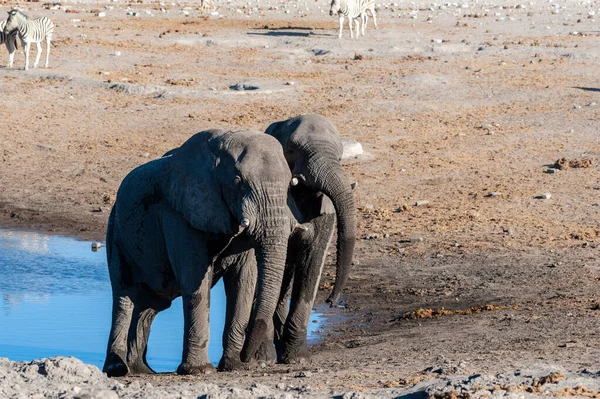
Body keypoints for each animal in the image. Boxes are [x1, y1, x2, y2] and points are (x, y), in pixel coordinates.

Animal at [102, 129, 296, 378]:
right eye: (238, 182)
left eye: (289, 185)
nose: (251, 358)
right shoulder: (179, 214)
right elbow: (195, 281)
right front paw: (200, 370)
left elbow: (243, 282)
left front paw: (234, 366)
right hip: (116, 232)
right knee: (124, 296)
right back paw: (117, 369)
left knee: (150, 304)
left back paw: (141, 370)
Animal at [262, 113, 356, 366]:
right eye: (292, 149)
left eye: (340, 156)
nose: (331, 301)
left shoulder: (326, 208)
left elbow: (312, 262)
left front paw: (297, 358)